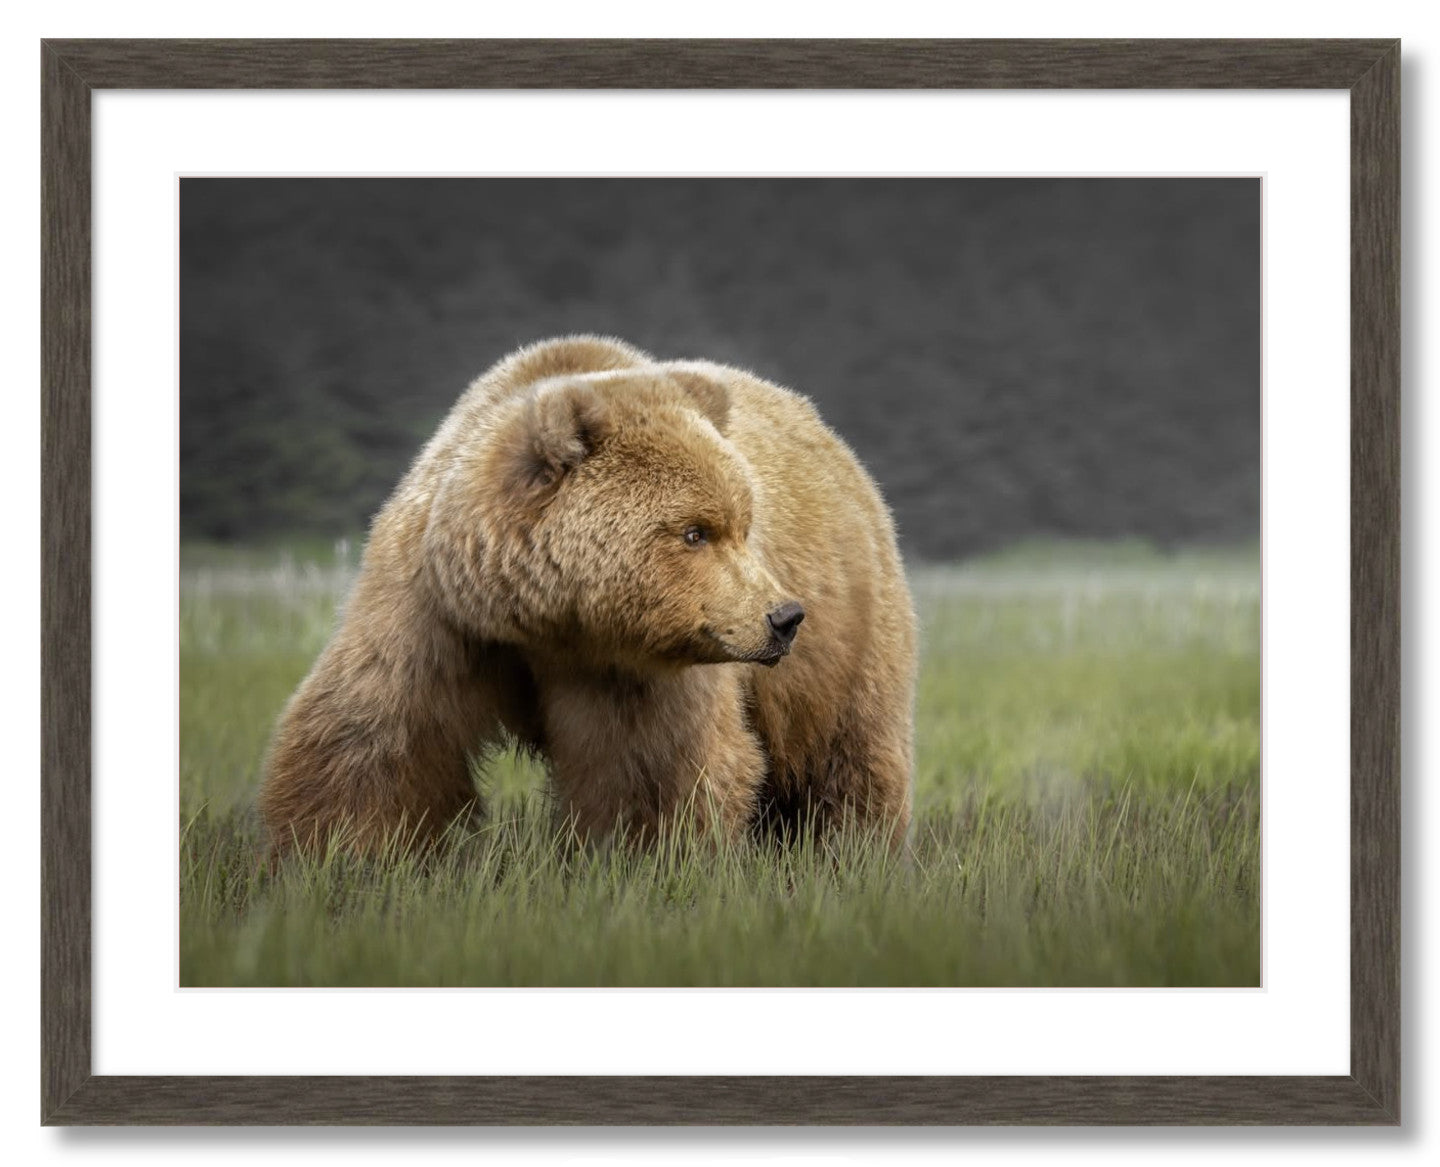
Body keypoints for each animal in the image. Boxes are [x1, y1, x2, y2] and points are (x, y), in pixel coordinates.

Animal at [259, 336, 917, 857]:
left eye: (743, 526)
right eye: (695, 532)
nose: (783, 616)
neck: (542, 619)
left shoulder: (633, 668)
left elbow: (652, 770)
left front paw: (643, 862)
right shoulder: (436, 611)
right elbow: (373, 739)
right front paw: (335, 859)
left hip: (850, 635)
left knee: (848, 756)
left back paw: (852, 852)